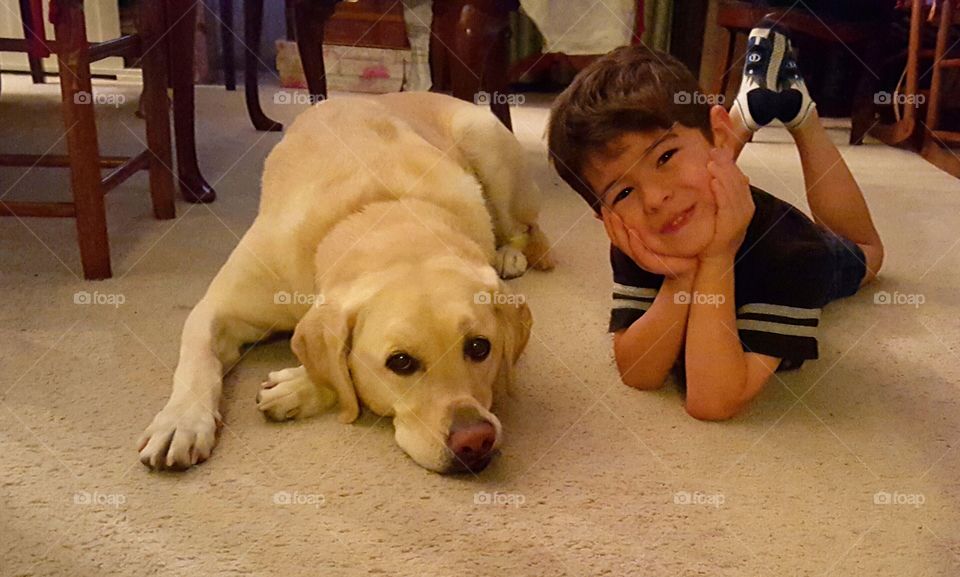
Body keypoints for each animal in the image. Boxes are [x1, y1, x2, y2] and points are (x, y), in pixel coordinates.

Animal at [138, 93, 552, 472]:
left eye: (480, 347)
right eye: (400, 362)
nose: (475, 440)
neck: (381, 211)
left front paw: (297, 386)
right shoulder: (217, 308)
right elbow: (198, 359)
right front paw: (181, 421)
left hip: (484, 142)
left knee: (523, 227)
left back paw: (508, 254)